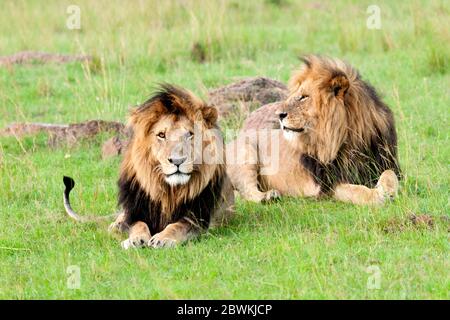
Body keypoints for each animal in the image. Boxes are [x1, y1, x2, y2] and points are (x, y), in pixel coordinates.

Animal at [63, 84, 236, 248]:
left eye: (190, 134)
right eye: (161, 135)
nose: (177, 161)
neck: (169, 191)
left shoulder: (199, 219)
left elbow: (177, 226)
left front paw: (163, 239)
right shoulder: (137, 211)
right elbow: (138, 225)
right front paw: (135, 239)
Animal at [229, 55, 400, 205]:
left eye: (304, 97)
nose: (279, 115)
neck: (350, 140)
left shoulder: (385, 163)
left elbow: (390, 174)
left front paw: (389, 190)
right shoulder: (328, 184)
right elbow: (357, 190)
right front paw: (377, 196)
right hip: (246, 152)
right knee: (247, 192)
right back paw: (268, 196)